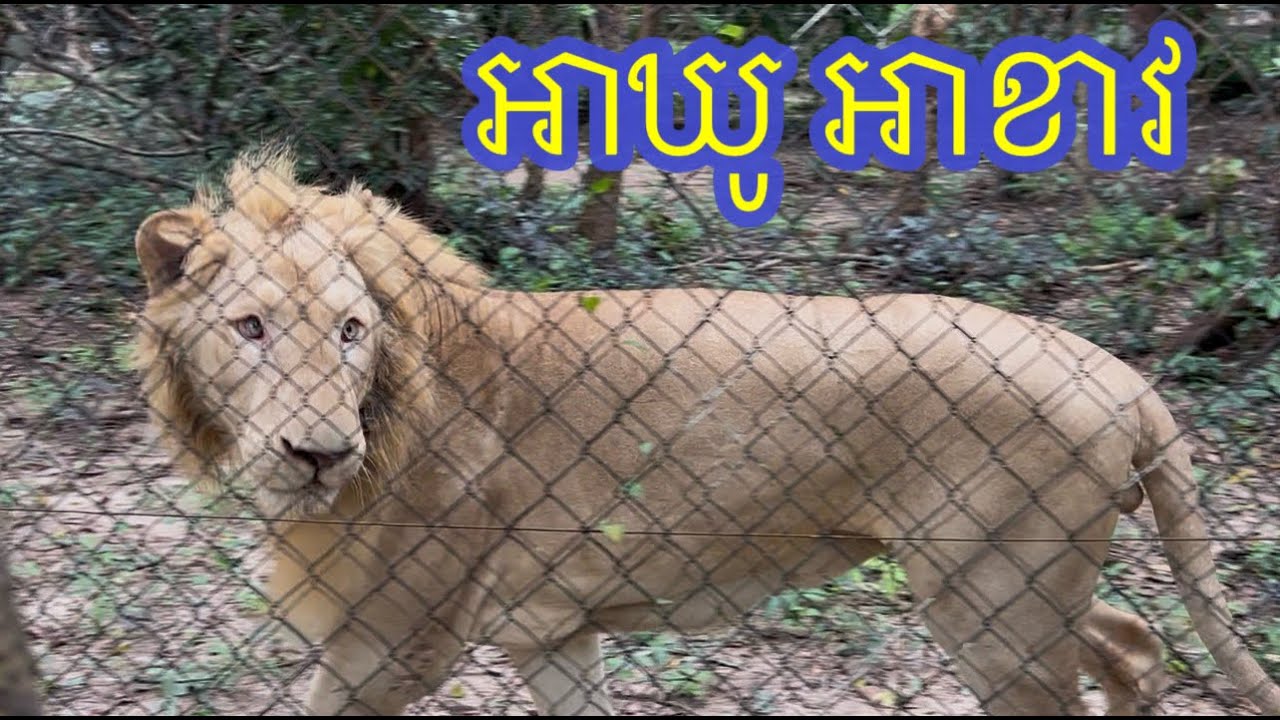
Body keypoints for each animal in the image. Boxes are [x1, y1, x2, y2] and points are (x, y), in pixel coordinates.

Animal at [130, 146, 1279, 716]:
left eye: (351, 330)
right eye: (250, 328)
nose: (319, 453)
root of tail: (1120, 376)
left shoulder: (391, 644)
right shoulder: (552, 634)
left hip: (993, 598)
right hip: (1012, 588)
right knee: (1134, 647)